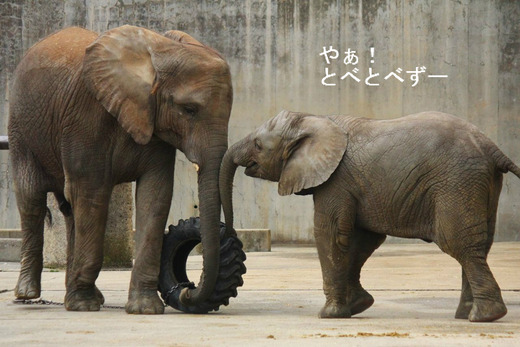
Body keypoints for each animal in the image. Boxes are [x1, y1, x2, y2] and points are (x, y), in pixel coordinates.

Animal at [9, 26, 233, 316]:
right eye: (189, 110)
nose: (186, 288)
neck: (160, 51)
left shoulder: (154, 124)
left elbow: (155, 195)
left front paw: (145, 309)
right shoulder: (85, 116)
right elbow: (92, 193)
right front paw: (84, 306)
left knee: (69, 211)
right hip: (20, 129)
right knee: (32, 200)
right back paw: (29, 294)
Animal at [220, 110, 520, 322]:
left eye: (258, 145)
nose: (231, 232)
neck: (311, 119)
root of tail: (493, 147)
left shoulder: (336, 180)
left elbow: (330, 234)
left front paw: (329, 315)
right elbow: (362, 240)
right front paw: (358, 306)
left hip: (456, 181)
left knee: (458, 243)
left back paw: (485, 316)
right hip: (479, 182)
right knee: (480, 244)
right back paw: (468, 315)